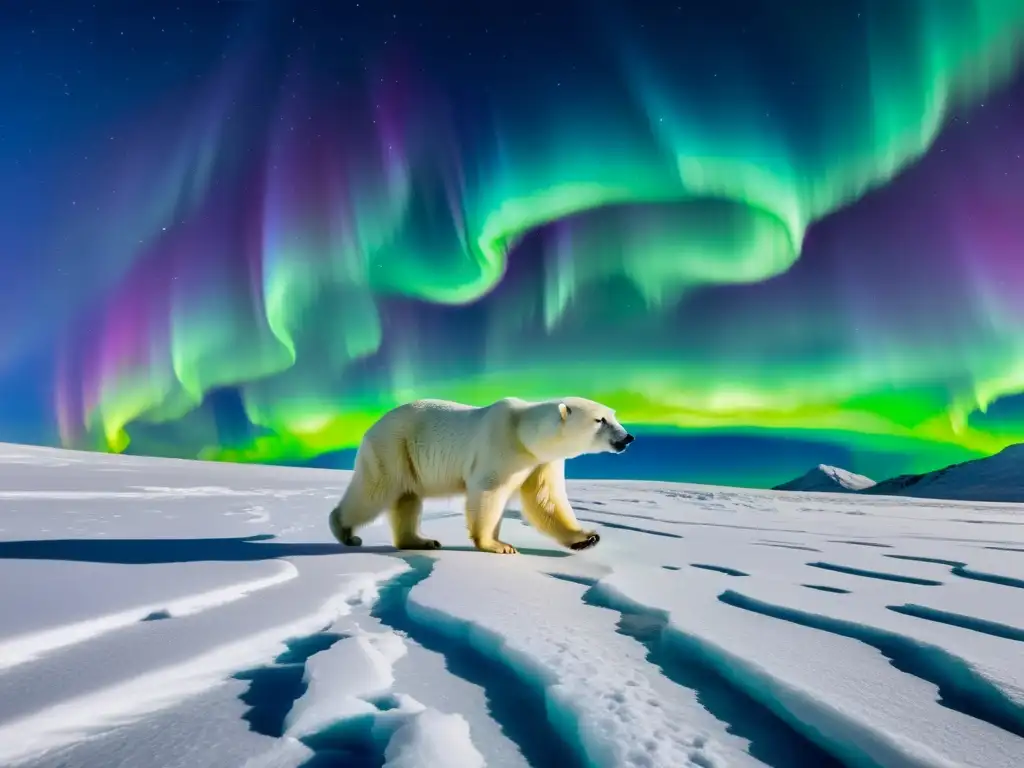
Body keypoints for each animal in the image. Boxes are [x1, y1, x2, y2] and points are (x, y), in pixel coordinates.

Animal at [327, 399, 630, 557]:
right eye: (600, 420)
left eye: (614, 415)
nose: (628, 437)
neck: (524, 433)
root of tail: (371, 428)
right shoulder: (500, 446)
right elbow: (488, 491)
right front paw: (498, 545)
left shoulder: (541, 462)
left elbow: (545, 499)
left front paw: (587, 537)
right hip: (392, 447)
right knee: (376, 490)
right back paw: (345, 531)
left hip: (406, 457)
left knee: (407, 498)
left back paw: (421, 541)